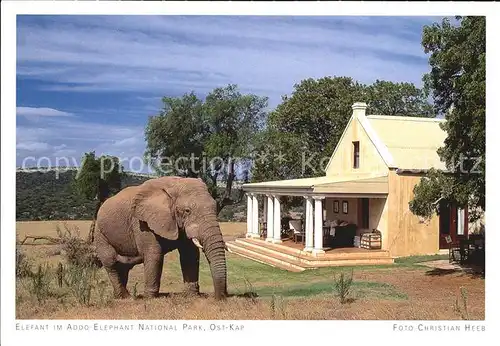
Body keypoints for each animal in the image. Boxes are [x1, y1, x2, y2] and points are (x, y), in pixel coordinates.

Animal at [94, 176, 228, 300]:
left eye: (216, 207)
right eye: (187, 211)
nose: (218, 297)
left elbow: (189, 254)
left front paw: (192, 295)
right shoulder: (141, 222)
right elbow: (154, 253)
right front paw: (150, 298)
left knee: (123, 266)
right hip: (100, 232)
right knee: (110, 261)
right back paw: (125, 297)